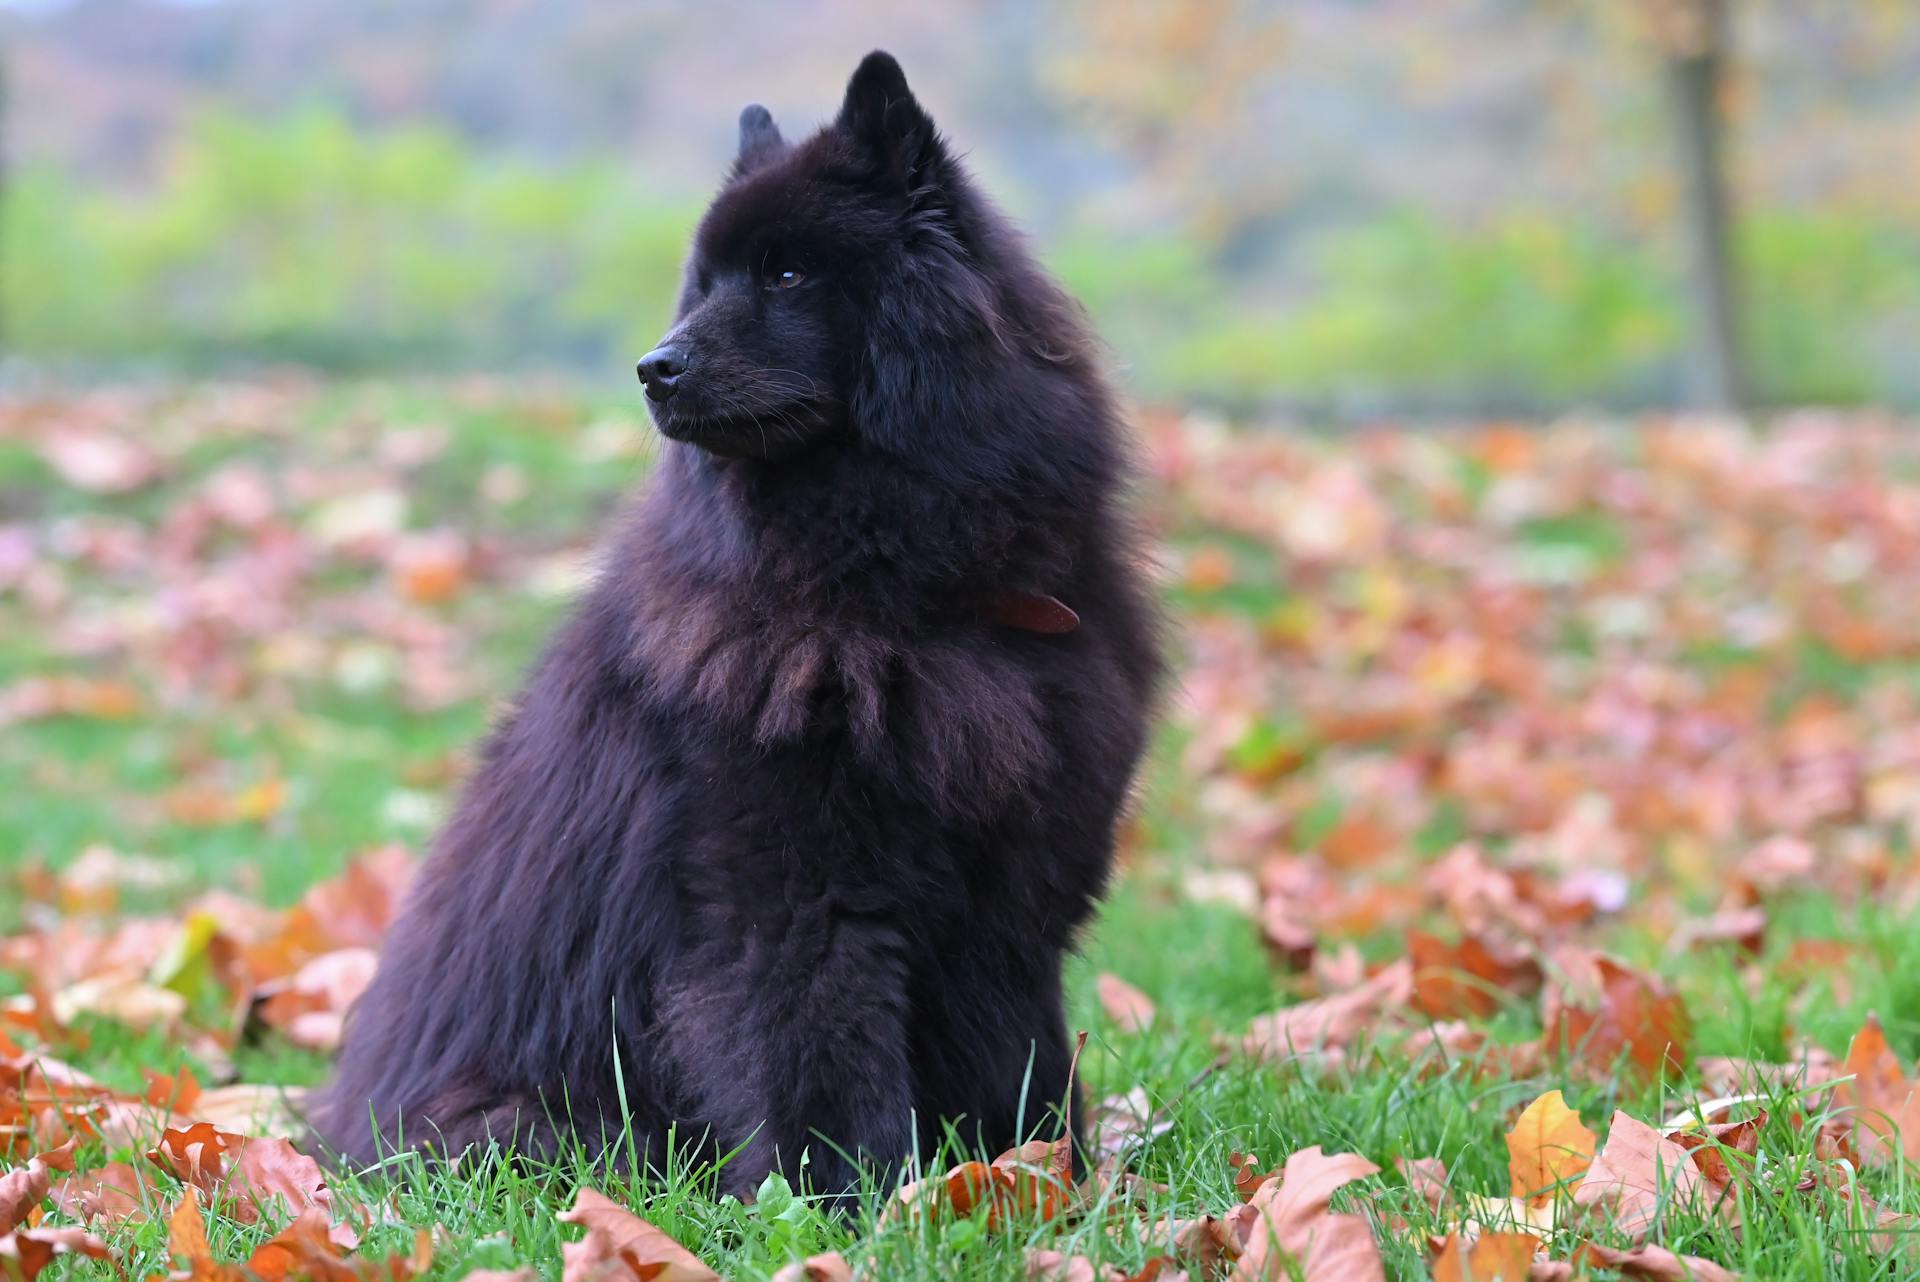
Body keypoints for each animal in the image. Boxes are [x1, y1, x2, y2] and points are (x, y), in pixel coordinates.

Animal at [312, 47, 1152, 1189]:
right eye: (703, 286)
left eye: (786, 276)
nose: (654, 367)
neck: (905, 594)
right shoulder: (794, 897)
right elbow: (825, 1069)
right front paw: (866, 1205)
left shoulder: (1010, 900)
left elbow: (1018, 1059)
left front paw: (1032, 1182)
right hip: (537, 1134)